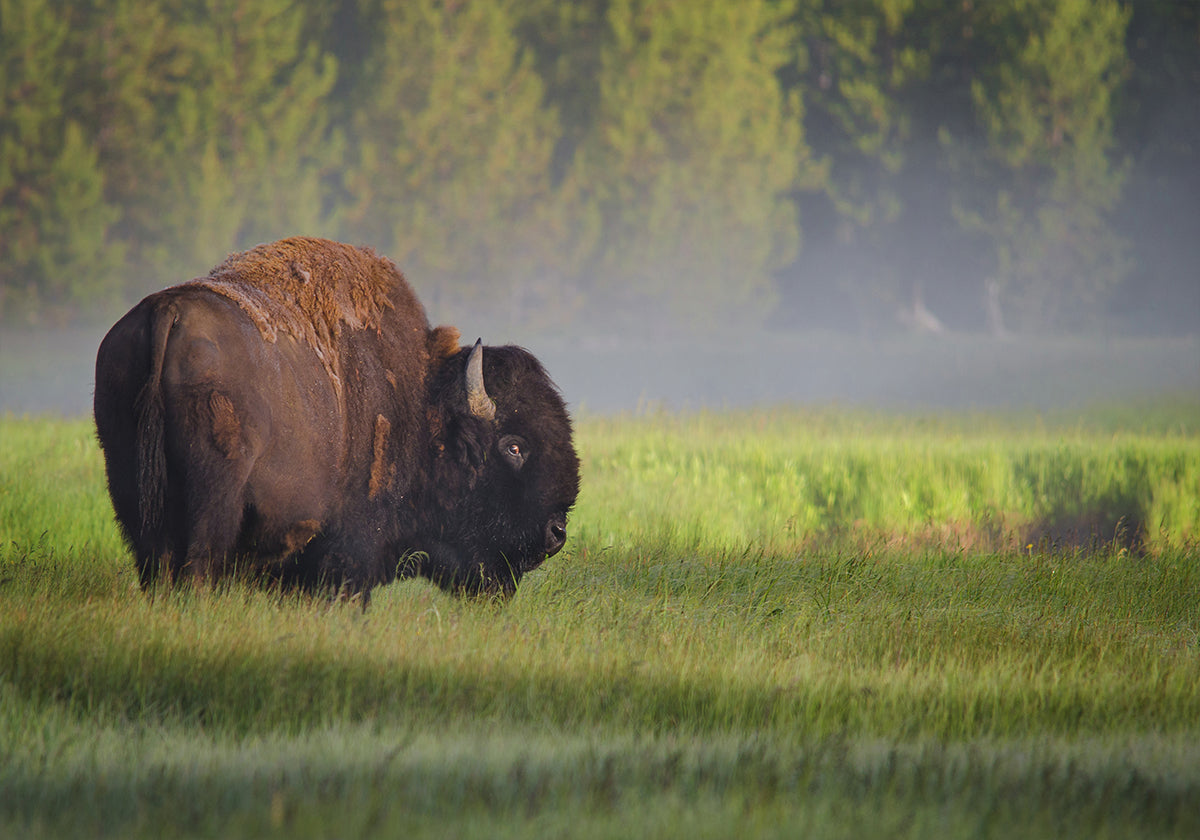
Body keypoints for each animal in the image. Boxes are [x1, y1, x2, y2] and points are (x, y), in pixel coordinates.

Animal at [94, 237, 580, 600]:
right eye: (513, 446)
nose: (556, 533)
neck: (419, 400)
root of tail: (168, 312)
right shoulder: (351, 549)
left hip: (131, 489)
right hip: (213, 500)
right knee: (197, 565)